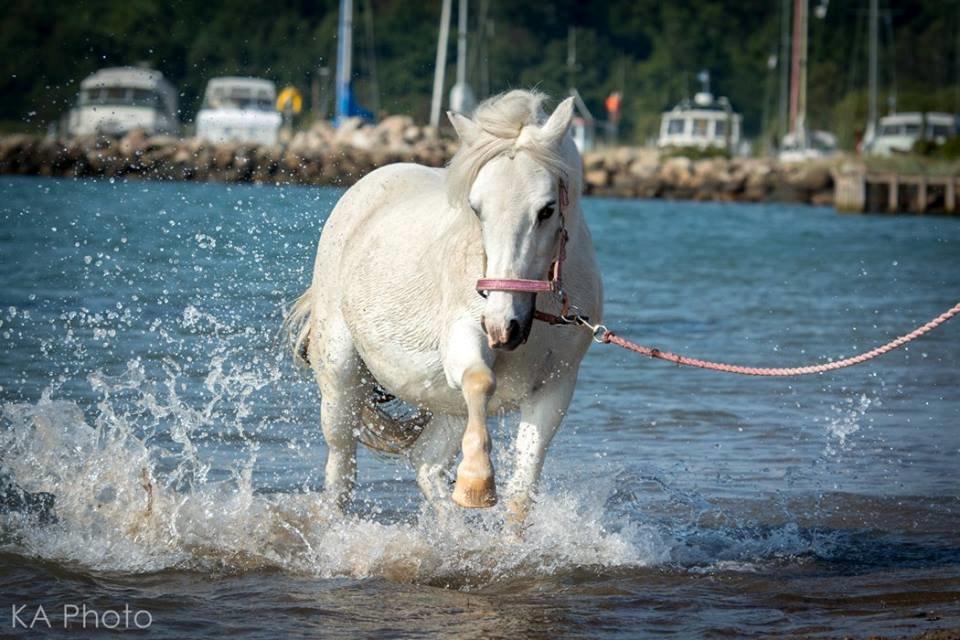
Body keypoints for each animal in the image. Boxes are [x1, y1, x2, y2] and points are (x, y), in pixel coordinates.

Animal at [284, 89, 600, 520]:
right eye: (477, 208)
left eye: (547, 209)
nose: (502, 328)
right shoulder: (462, 338)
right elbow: (480, 379)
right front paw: (477, 483)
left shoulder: (555, 386)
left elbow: (521, 494)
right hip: (340, 376)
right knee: (341, 468)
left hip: (446, 404)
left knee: (426, 465)